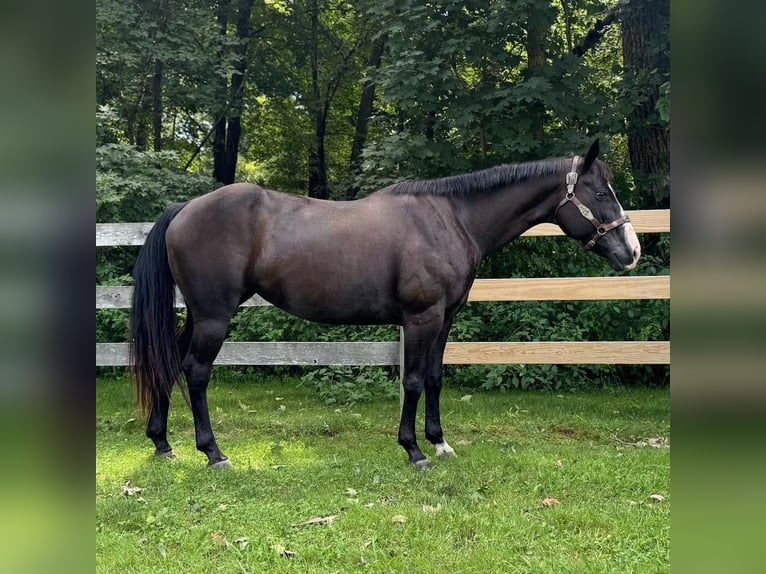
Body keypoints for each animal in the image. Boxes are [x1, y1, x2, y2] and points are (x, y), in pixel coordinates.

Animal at [130, 137, 640, 470]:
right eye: (601, 192)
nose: (632, 251)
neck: (451, 219)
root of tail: (185, 209)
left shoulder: (445, 320)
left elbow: (433, 379)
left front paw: (440, 444)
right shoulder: (420, 319)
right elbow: (412, 381)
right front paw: (413, 450)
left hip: (199, 317)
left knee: (169, 362)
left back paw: (163, 444)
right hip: (214, 317)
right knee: (195, 372)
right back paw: (213, 453)